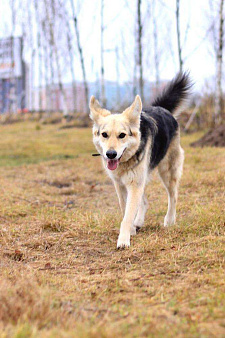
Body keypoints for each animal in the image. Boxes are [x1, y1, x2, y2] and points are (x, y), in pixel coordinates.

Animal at [89, 73, 191, 248]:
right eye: (104, 135)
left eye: (122, 135)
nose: (111, 154)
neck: (125, 161)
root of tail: (162, 108)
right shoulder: (121, 185)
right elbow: (126, 210)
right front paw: (130, 230)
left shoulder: (134, 183)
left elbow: (127, 215)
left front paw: (124, 240)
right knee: (144, 202)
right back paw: (138, 222)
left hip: (167, 171)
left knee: (173, 196)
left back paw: (169, 220)